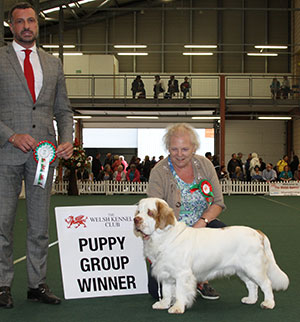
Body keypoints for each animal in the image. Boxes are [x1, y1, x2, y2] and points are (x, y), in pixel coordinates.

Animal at [134, 197, 288, 314]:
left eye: (150, 212)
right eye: (138, 211)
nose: (136, 220)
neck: (165, 237)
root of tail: (257, 232)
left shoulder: (182, 274)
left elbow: (179, 292)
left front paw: (177, 307)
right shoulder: (166, 272)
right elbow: (166, 291)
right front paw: (164, 304)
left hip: (254, 268)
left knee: (266, 283)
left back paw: (268, 303)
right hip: (242, 270)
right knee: (252, 285)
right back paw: (250, 300)